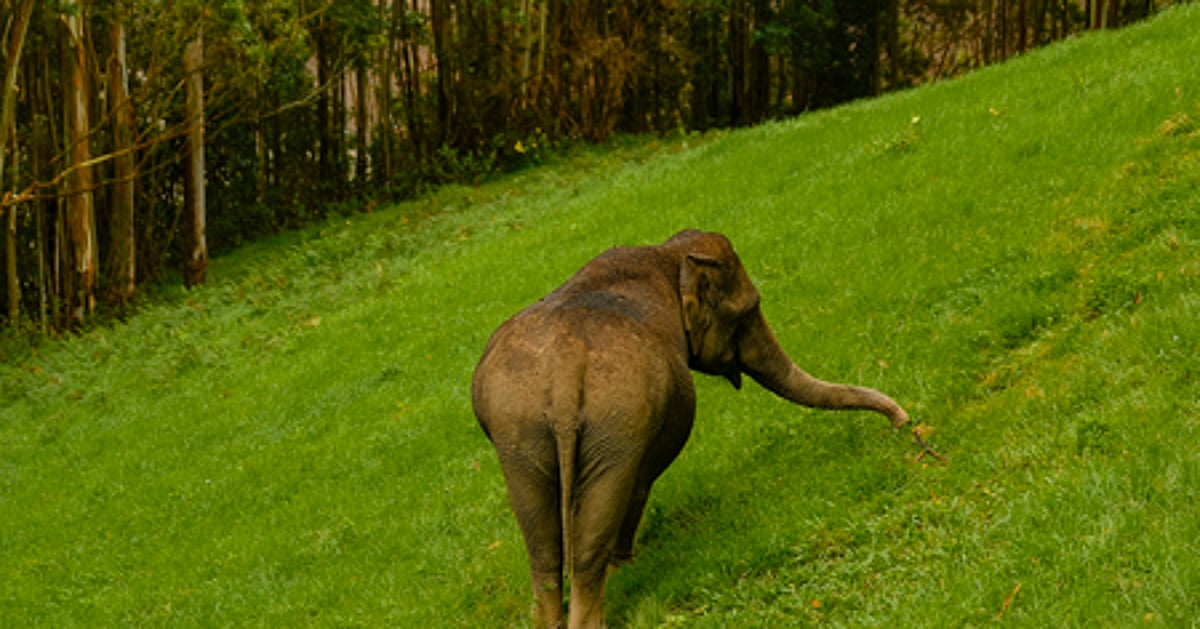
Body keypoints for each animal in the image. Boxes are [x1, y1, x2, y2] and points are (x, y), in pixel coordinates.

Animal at [472, 229, 910, 628]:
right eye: (747, 312)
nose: (903, 422)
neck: (668, 252)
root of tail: (563, 379)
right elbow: (641, 481)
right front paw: (626, 566)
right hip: (615, 430)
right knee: (597, 526)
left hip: (519, 435)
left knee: (543, 546)